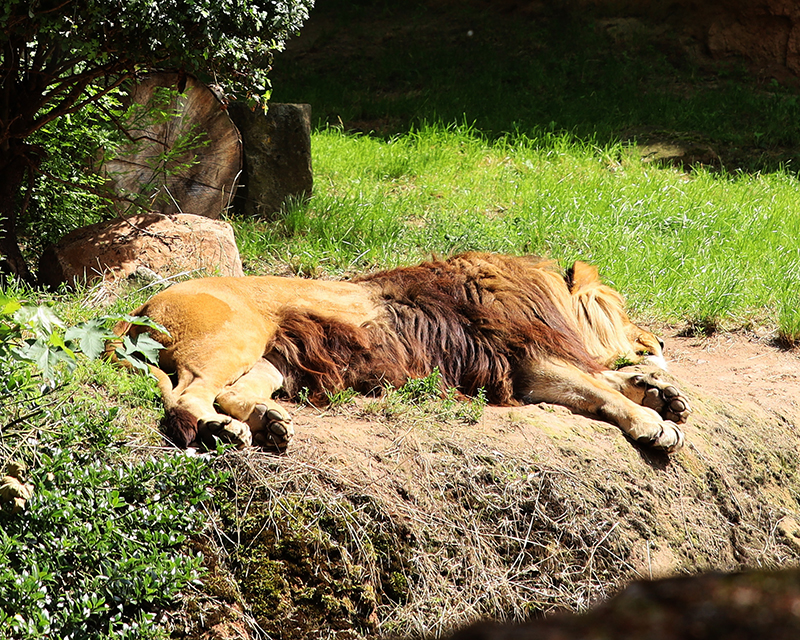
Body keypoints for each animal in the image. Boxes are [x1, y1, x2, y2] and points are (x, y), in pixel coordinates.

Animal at [117, 252, 688, 452]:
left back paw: (267, 423)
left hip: (272, 359)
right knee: (187, 397)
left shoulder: (532, 364)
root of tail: (146, 300)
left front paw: (660, 392)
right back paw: (222, 432)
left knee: (232, 395)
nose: (662, 340)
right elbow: (600, 390)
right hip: (234, 337)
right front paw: (653, 422)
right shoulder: (527, 362)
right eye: (625, 309)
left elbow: (605, 382)